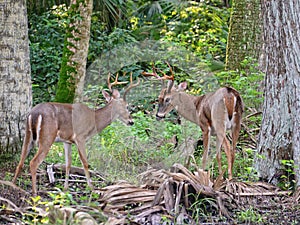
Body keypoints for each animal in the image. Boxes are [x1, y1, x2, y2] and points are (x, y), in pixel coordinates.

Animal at [11, 72, 139, 195]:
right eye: (126, 106)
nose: (131, 121)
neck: (93, 121)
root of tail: (34, 113)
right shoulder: (80, 137)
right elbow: (85, 162)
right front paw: (91, 187)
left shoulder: (67, 141)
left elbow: (68, 164)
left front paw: (66, 188)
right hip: (47, 136)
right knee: (33, 162)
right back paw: (34, 192)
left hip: (27, 135)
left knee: (20, 162)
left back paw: (13, 185)